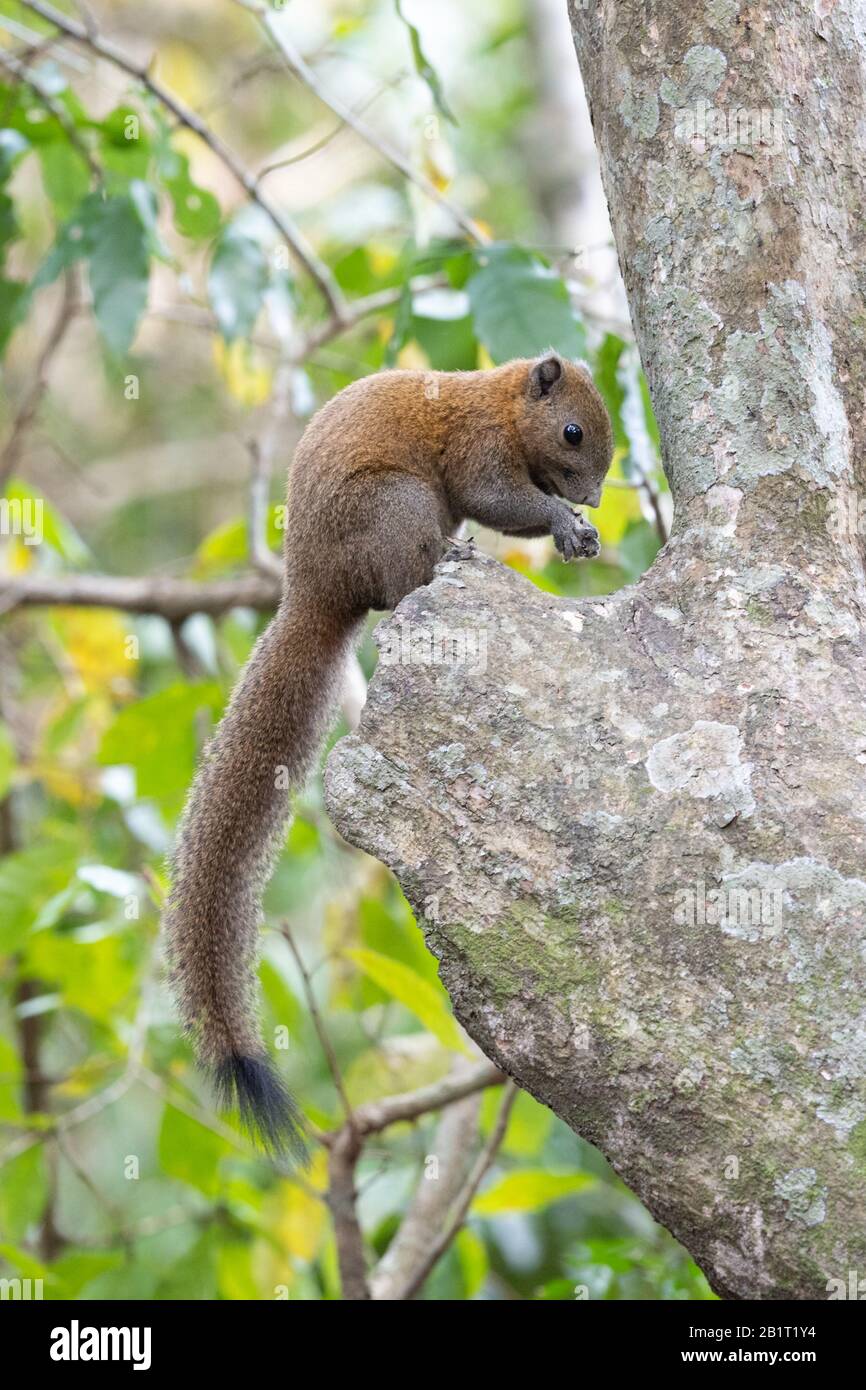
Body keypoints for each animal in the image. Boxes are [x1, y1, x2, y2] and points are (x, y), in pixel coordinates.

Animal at [164, 351, 614, 1157]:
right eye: (572, 432)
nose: (593, 494)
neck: (500, 403)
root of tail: (314, 588)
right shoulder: (477, 453)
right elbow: (503, 500)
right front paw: (566, 521)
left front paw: (580, 528)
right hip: (395, 504)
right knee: (400, 582)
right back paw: (444, 562)